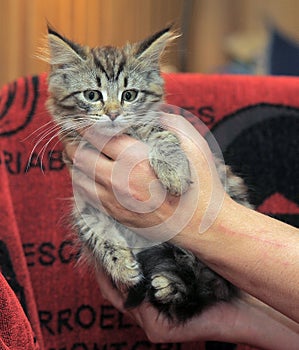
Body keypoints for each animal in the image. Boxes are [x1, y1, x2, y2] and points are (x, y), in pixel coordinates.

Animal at [45, 26, 251, 322]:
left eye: (129, 95)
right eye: (92, 95)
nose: (113, 114)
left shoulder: (157, 127)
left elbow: (161, 136)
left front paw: (173, 170)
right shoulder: (84, 198)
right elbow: (97, 233)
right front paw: (121, 266)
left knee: (209, 282)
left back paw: (173, 285)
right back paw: (170, 286)